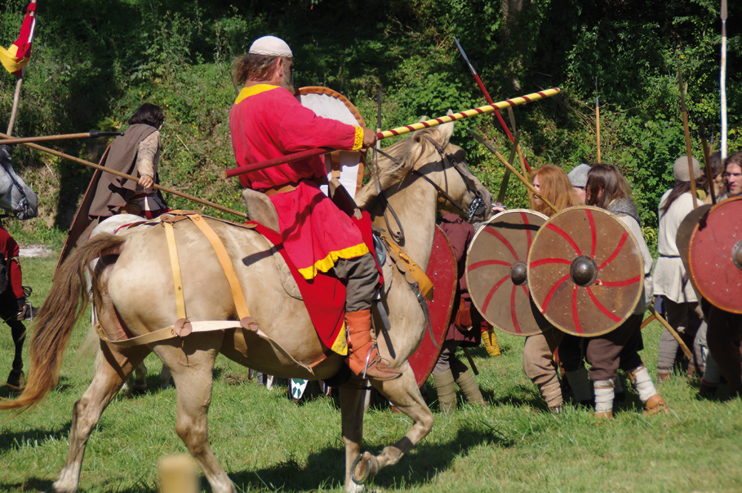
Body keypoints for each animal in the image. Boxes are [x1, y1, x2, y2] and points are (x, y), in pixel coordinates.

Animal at [0, 120, 494, 492]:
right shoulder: (393, 370)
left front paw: (357, 474)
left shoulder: (354, 380)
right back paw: (225, 485)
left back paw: (66, 481)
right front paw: (377, 462)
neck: (395, 247)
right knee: (191, 428)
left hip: (122, 350)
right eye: (460, 157)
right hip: (191, 356)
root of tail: (123, 242)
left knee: (85, 410)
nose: (486, 200)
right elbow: (422, 422)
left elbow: (353, 439)